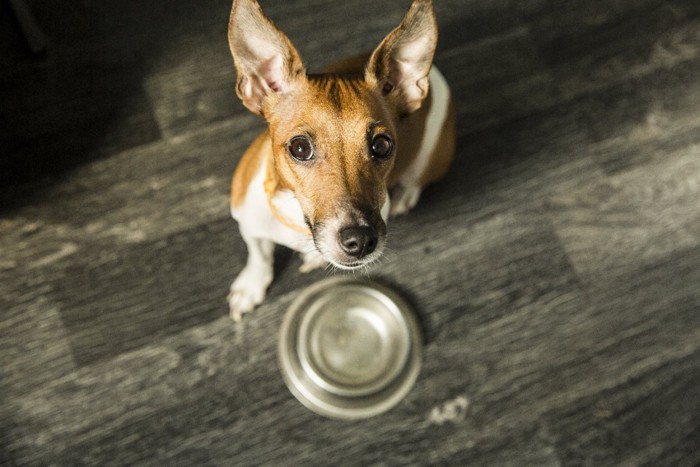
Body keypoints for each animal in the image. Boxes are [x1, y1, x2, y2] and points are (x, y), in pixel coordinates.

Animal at [224, 0, 454, 322]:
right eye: (299, 148)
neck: (296, 218)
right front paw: (250, 286)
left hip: (431, 157)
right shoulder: (248, 223)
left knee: (416, 181)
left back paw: (405, 197)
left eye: (382, 146)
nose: (360, 241)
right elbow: (258, 255)